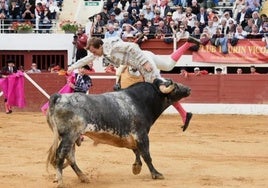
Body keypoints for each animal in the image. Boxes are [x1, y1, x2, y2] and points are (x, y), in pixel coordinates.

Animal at [47, 78, 192, 187]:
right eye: (175, 86)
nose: (189, 89)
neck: (142, 101)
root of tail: (59, 97)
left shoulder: (133, 136)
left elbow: (136, 151)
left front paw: (136, 167)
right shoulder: (141, 134)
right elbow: (146, 154)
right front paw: (156, 174)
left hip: (71, 137)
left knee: (70, 157)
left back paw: (83, 177)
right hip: (69, 136)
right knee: (61, 155)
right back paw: (61, 182)